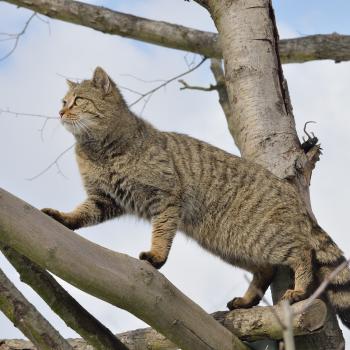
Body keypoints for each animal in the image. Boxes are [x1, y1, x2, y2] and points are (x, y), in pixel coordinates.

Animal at [43, 67, 350, 326]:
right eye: (63, 101)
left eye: (78, 101)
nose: (59, 111)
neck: (96, 149)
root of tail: (291, 192)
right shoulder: (104, 199)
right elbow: (81, 213)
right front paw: (64, 218)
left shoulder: (165, 196)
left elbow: (162, 232)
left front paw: (156, 256)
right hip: (231, 244)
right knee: (266, 270)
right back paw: (247, 300)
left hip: (264, 237)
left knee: (303, 252)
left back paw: (299, 289)